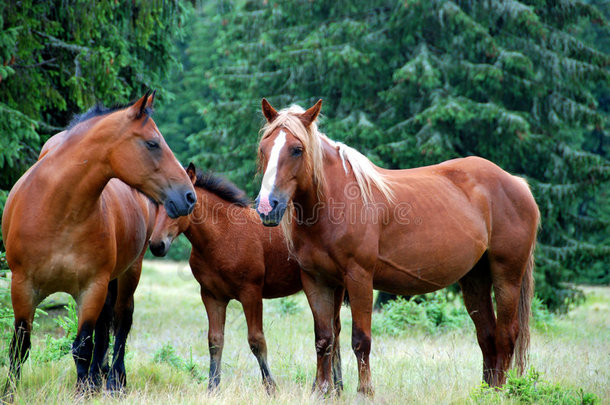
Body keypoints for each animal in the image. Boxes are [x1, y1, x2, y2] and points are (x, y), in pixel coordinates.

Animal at [1, 90, 195, 396]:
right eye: (152, 143)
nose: (189, 196)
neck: (57, 212)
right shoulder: (22, 287)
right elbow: (20, 346)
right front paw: (10, 392)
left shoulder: (92, 288)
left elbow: (83, 345)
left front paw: (83, 391)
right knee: (105, 327)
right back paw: (98, 378)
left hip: (129, 273)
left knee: (121, 322)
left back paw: (114, 380)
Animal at [147, 163, 342, 392]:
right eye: (156, 202)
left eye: (183, 202)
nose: (157, 245)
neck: (222, 235)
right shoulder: (212, 296)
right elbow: (215, 341)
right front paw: (212, 388)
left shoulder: (251, 293)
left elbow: (256, 341)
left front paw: (271, 388)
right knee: (334, 334)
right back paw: (336, 387)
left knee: (333, 333)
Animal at [254, 98, 540, 394]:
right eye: (263, 148)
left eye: (297, 149)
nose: (267, 207)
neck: (334, 202)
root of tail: (517, 183)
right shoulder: (316, 280)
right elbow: (324, 339)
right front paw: (321, 391)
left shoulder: (359, 278)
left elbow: (361, 340)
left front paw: (365, 392)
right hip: (475, 278)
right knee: (487, 335)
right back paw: (486, 391)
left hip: (507, 276)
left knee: (506, 335)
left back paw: (500, 392)